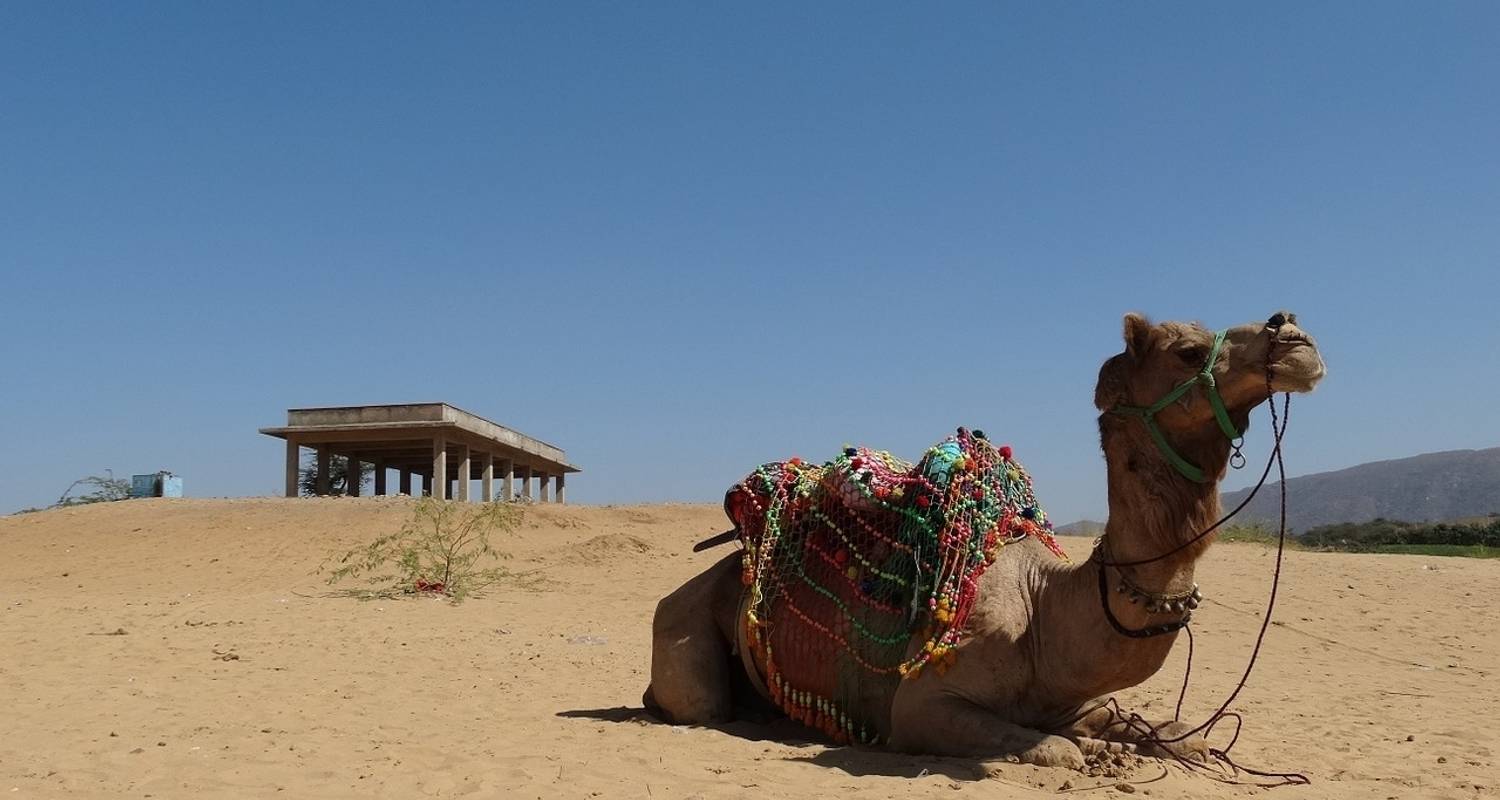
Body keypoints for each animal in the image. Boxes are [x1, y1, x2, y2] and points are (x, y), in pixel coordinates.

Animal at [645, 312, 1326, 768]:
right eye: (1188, 352)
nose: (1295, 337)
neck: (1046, 610)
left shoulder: (1071, 700)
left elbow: (1180, 730)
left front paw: (1177, 742)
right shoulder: (922, 705)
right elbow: (1055, 750)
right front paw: (1085, 755)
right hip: (683, 628)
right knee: (700, 706)